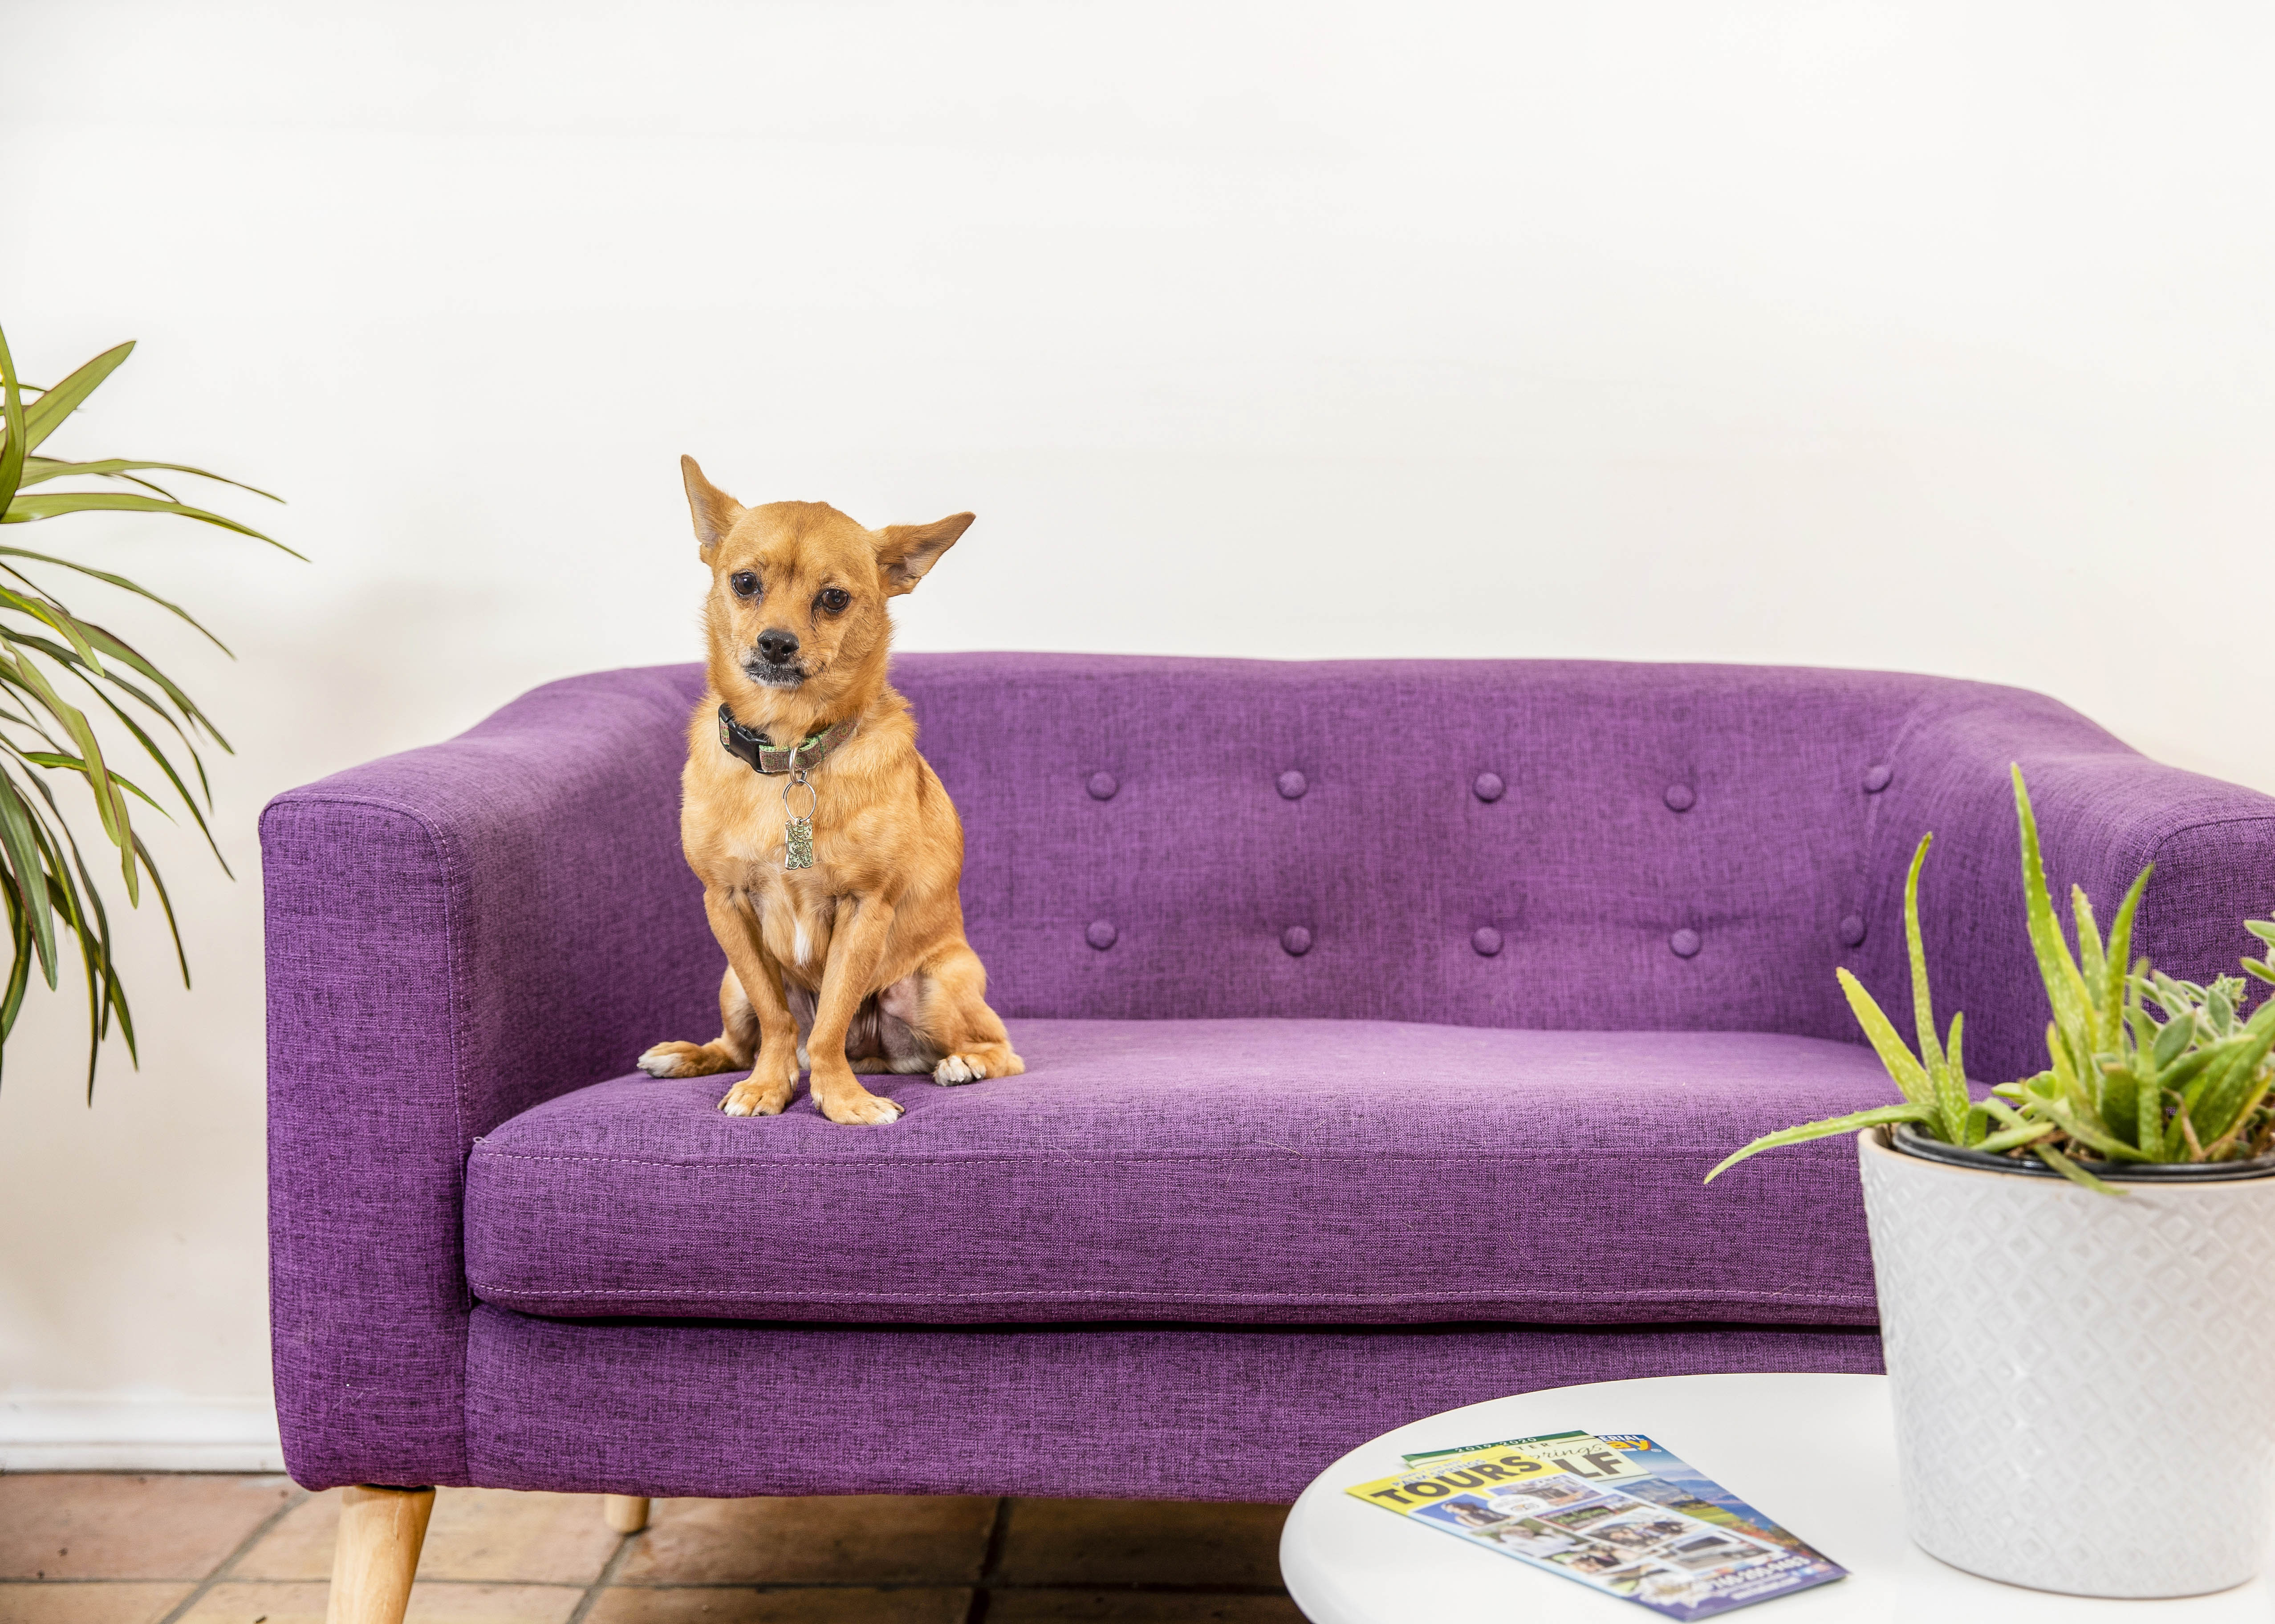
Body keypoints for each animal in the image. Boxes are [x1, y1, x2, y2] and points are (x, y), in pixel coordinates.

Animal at [646, 448, 1028, 1119]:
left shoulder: (864, 909)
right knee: (737, 1042)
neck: (790, 749)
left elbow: (828, 1020)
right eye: (744, 583)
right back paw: (688, 1055)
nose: (776, 642)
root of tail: (876, 1056)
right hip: (729, 984)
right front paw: (769, 1087)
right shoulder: (725, 904)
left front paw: (842, 1100)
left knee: (1001, 1048)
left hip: (936, 983)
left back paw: (963, 1066)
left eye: (833, 599)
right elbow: (779, 1019)